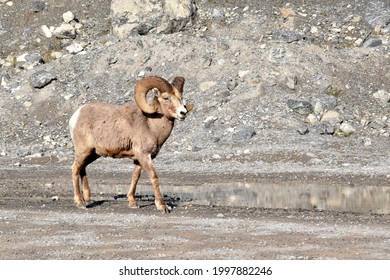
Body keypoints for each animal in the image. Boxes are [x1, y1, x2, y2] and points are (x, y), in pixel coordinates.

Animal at [69, 75, 193, 213]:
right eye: (166, 98)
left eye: (180, 97)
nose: (183, 113)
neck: (151, 124)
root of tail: (75, 116)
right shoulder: (144, 156)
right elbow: (153, 177)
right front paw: (162, 206)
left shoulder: (138, 159)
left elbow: (135, 177)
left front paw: (132, 203)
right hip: (83, 151)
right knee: (75, 169)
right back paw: (80, 202)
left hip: (93, 154)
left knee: (82, 168)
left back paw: (87, 198)